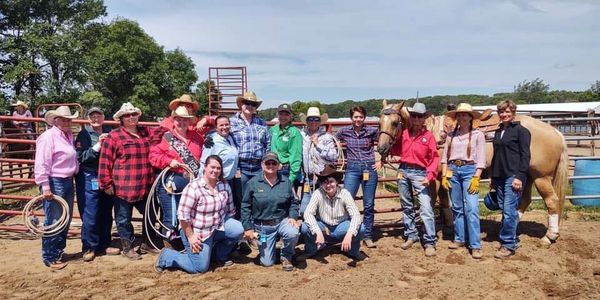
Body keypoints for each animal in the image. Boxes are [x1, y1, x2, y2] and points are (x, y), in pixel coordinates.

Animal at [378, 99, 568, 245]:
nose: (381, 148)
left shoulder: (433, 178)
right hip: (526, 176)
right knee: (525, 200)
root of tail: (556, 132)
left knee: (551, 201)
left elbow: (431, 202)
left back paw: (549, 237)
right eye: (379, 122)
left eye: (394, 122)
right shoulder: (442, 176)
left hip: (541, 177)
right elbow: (445, 201)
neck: (432, 132)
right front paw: (449, 228)